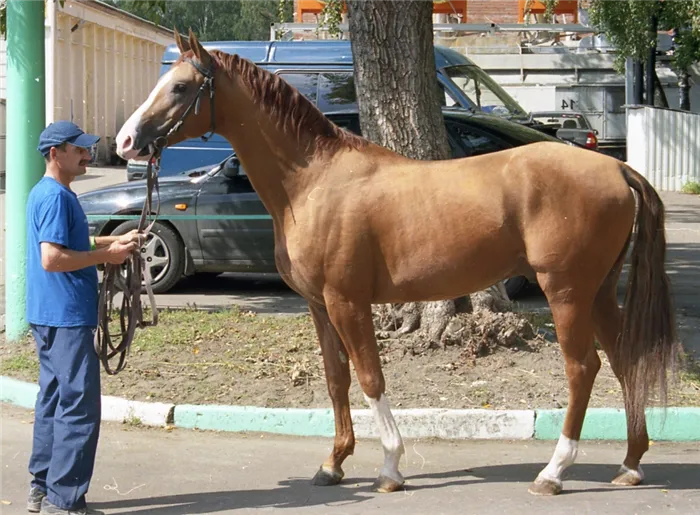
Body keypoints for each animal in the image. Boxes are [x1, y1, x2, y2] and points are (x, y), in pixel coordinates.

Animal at [116, 31, 680, 496]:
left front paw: (390, 467)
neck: (313, 181)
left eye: (181, 87)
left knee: (583, 368)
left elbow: (370, 378)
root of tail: (616, 168)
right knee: (624, 361)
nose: (125, 141)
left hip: (566, 293)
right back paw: (630, 463)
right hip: (598, 291)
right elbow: (337, 379)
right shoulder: (319, 307)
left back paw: (554, 472)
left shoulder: (348, 303)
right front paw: (333, 464)